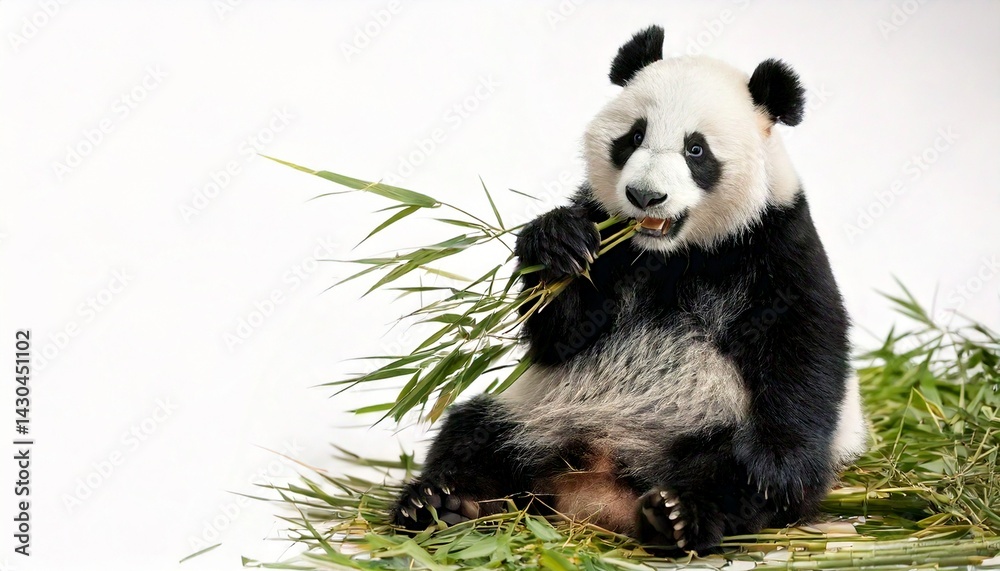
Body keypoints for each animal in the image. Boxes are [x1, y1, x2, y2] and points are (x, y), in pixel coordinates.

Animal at [391, 25, 868, 553]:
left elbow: (803, 341)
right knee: (472, 434)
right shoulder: (605, 232)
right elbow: (562, 336)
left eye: (696, 150)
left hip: (706, 427)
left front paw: (775, 467)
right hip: (534, 410)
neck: (674, 254)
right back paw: (440, 504)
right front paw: (556, 242)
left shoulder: (777, 240)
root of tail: (595, 489)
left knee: (732, 476)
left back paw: (676, 515)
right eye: (634, 136)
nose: (645, 196)